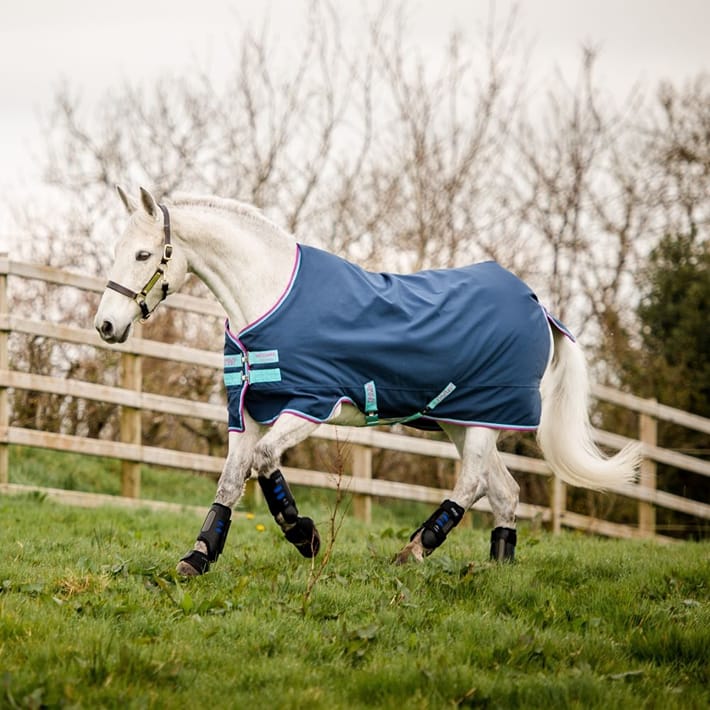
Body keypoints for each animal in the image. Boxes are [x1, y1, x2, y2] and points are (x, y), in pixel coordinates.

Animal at [94, 186, 640, 576]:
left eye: (143, 255)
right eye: (117, 250)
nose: (106, 325)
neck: (268, 296)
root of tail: (539, 306)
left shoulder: (310, 404)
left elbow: (264, 462)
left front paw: (305, 536)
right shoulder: (246, 410)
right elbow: (232, 478)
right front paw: (199, 556)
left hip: (487, 417)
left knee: (471, 484)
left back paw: (414, 551)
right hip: (461, 420)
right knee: (503, 491)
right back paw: (497, 569)